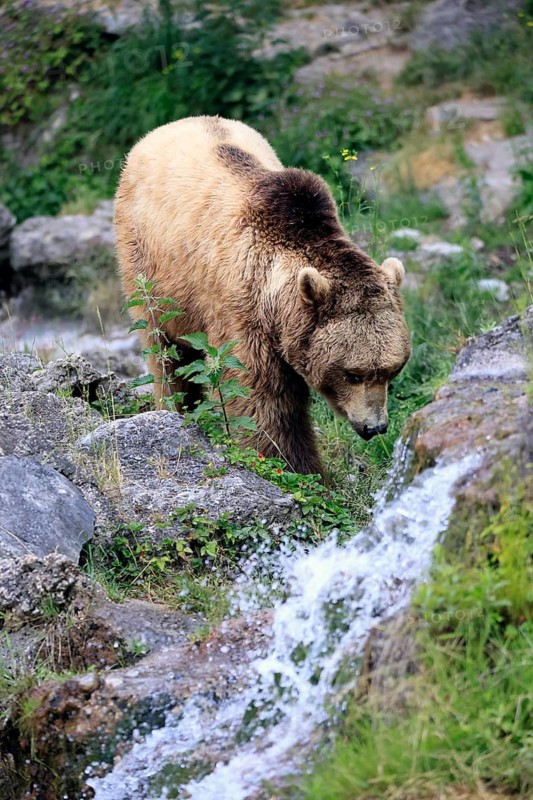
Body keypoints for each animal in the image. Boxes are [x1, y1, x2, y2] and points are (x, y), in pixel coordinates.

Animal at [115, 115, 411, 477]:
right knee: (165, 349)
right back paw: (177, 407)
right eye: (353, 373)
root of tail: (166, 127)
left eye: (392, 369)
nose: (375, 427)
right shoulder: (241, 308)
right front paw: (291, 464)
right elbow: (262, 396)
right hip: (150, 267)